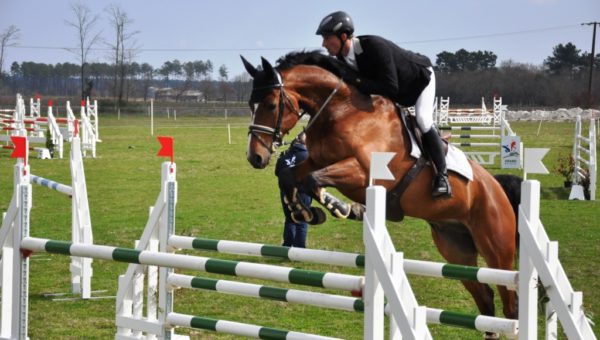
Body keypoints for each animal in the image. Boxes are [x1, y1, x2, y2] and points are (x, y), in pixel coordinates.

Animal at [241, 51, 516, 334]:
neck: (341, 110)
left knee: (510, 302)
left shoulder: (364, 173)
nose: (255, 157)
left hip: (497, 250)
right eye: (251, 104)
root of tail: (496, 186)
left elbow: (312, 179)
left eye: (270, 105)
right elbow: (290, 176)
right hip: (455, 248)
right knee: (485, 298)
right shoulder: (316, 160)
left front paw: (343, 208)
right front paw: (304, 212)